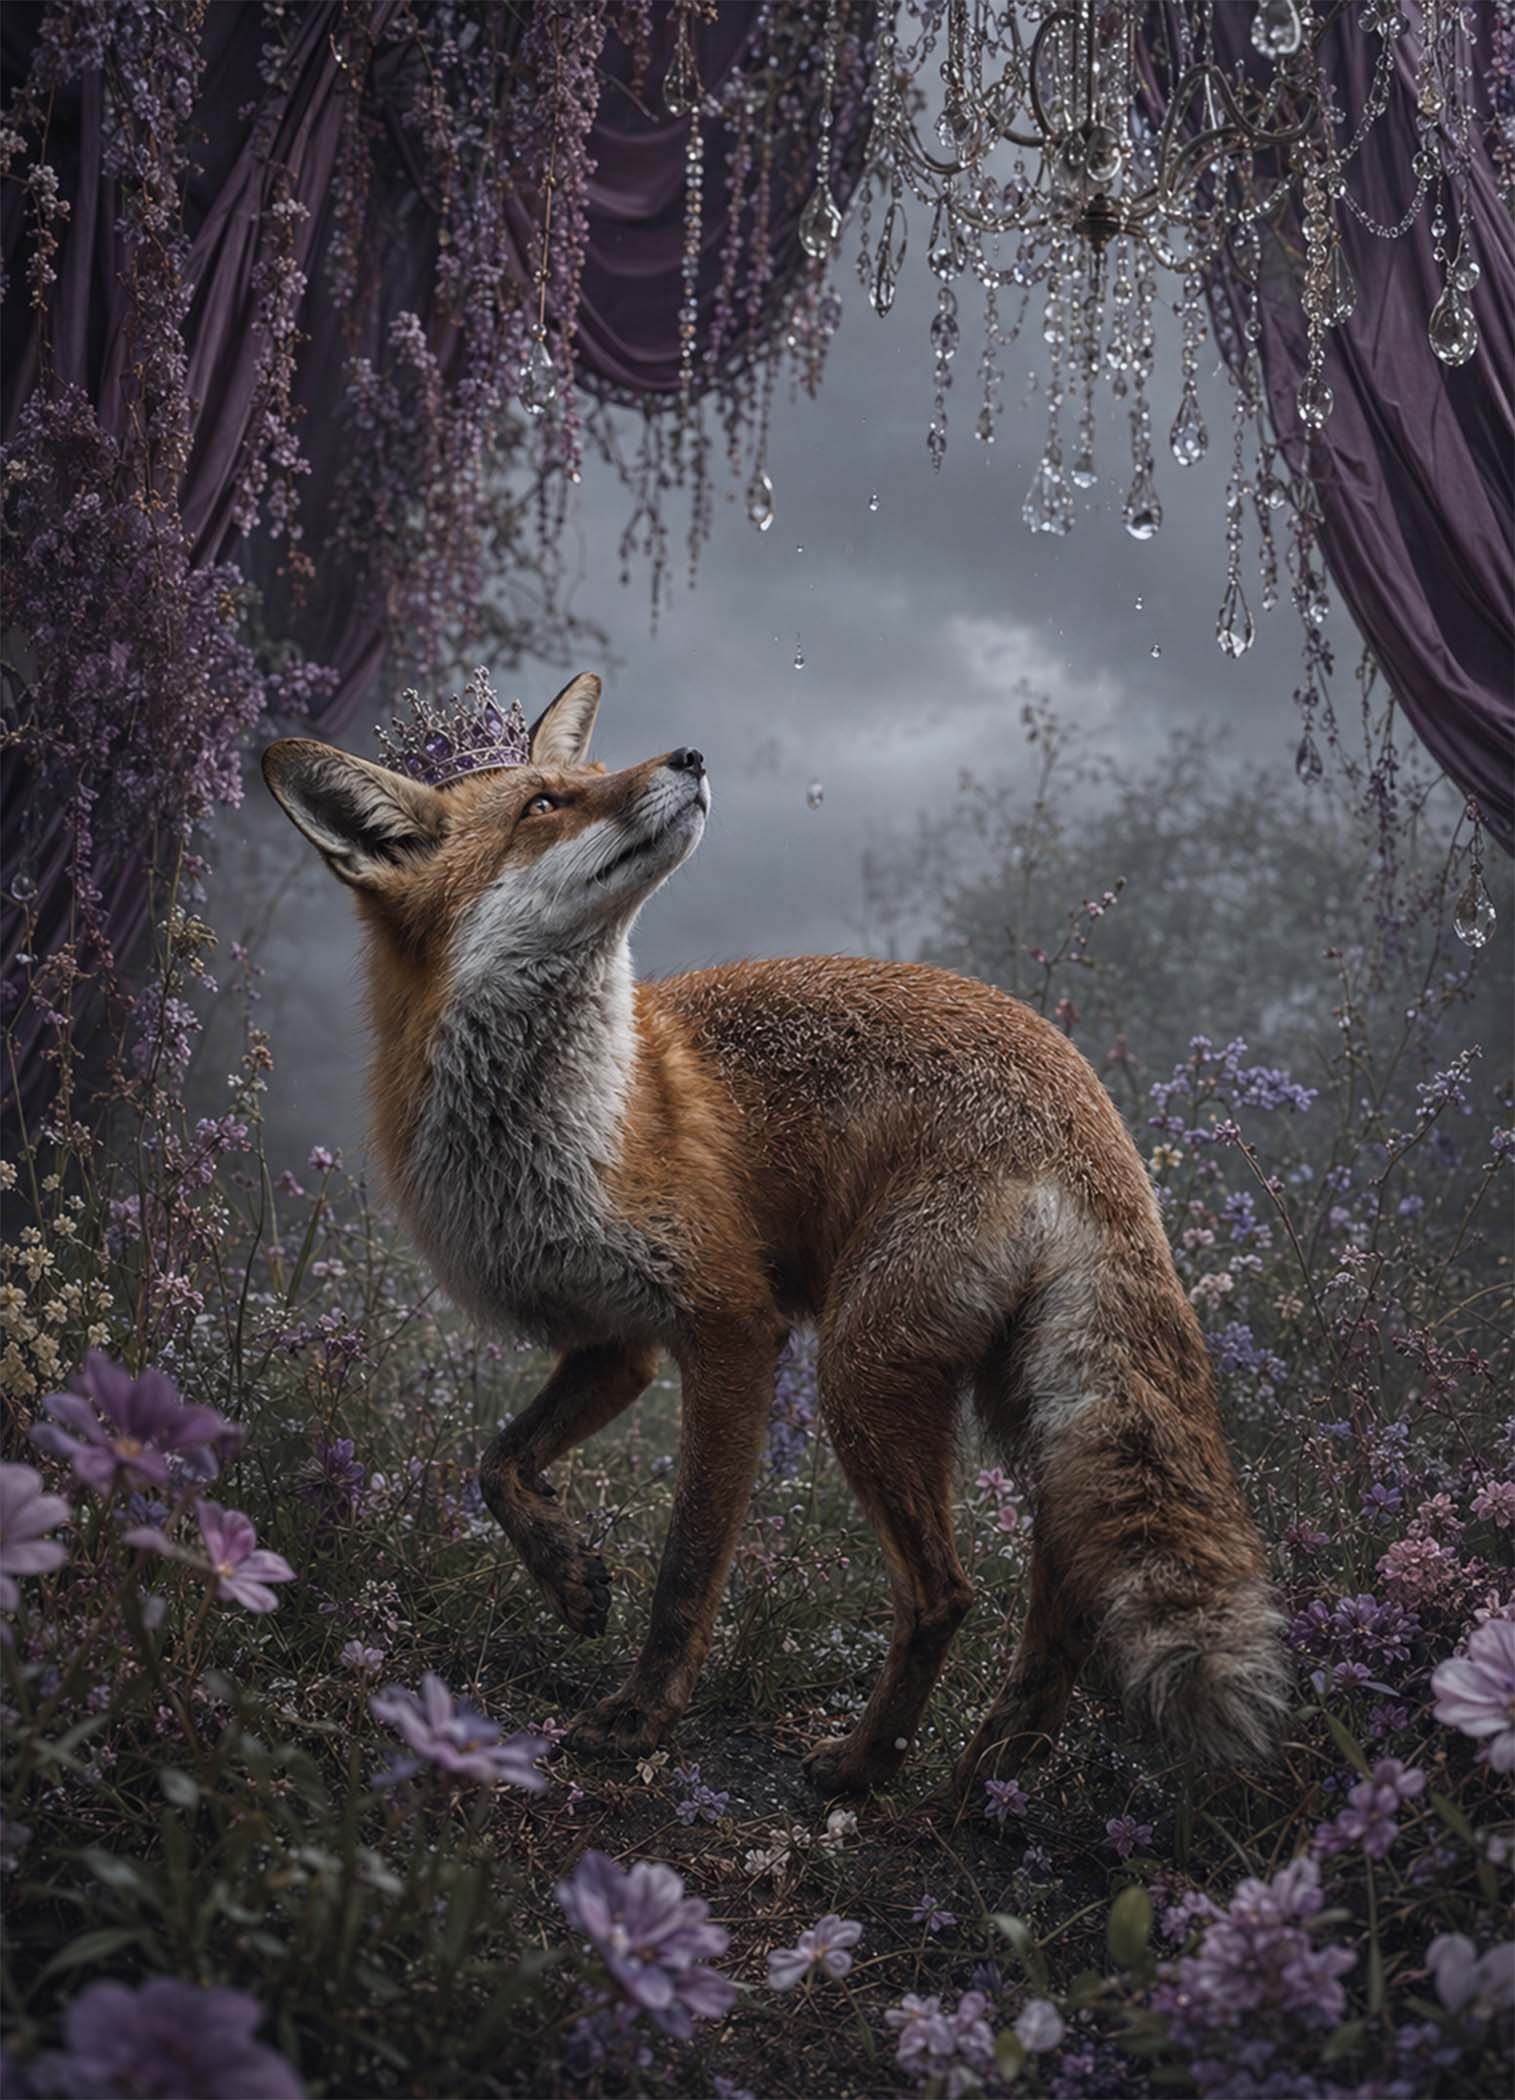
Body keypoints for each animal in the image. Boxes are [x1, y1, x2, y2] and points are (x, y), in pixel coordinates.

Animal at [262, 671, 1288, 1797]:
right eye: (544, 805)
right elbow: (495, 1464)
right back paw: (986, 1781)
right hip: (1024, 1401)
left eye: (592, 776)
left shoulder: (731, 1327)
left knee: (946, 1592)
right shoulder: (613, 1341)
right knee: (1062, 1602)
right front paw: (568, 1576)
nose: (688, 755)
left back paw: (867, 1768)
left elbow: (687, 1564)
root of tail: (1085, 1103)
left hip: (860, 1369)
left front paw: (643, 1716)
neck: (564, 1134)